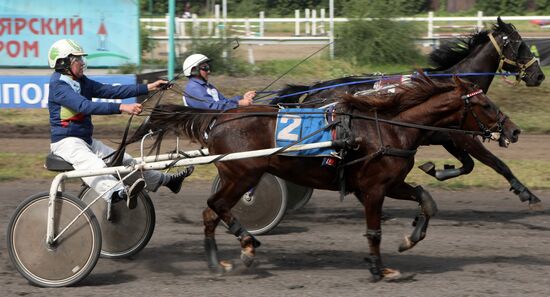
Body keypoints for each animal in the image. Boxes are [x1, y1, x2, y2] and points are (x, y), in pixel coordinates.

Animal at [140, 74, 520, 280]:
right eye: (485, 104)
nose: (514, 130)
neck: (388, 128)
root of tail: (219, 119)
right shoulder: (374, 189)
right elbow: (374, 232)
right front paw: (380, 270)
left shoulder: (388, 184)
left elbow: (426, 199)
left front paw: (410, 238)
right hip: (243, 173)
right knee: (214, 207)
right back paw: (241, 248)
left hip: (243, 174)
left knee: (211, 212)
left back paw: (225, 257)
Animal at [272, 17, 544, 209]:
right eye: (520, 44)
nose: (539, 75)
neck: (455, 83)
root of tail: (315, 89)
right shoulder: (461, 136)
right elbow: (496, 163)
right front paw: (527, 193)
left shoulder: (448, 138)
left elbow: (467, 166)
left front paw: (436, 170)